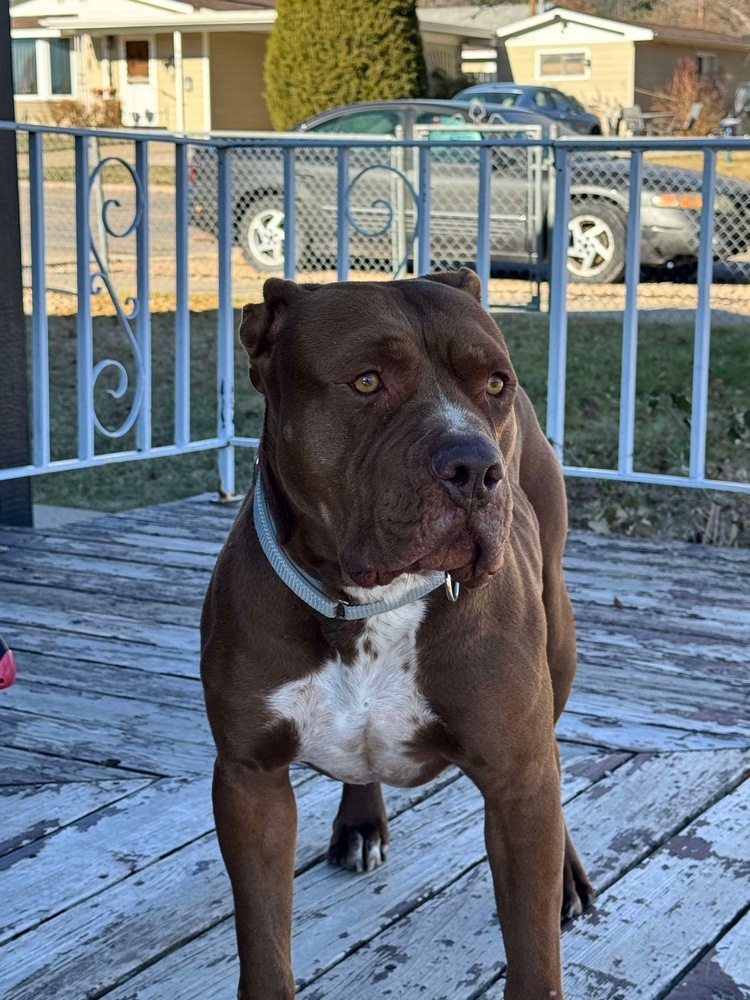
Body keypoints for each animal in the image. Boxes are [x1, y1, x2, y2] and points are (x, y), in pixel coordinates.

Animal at [200, 268, 592, 1000]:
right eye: (366, 381)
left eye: (494, 383)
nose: (475, 466)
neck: (369, 606)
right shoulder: (249, 781)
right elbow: (264, 942)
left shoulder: (519, 778)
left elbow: (534, 953)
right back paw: (360, 819)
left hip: (559, 642)